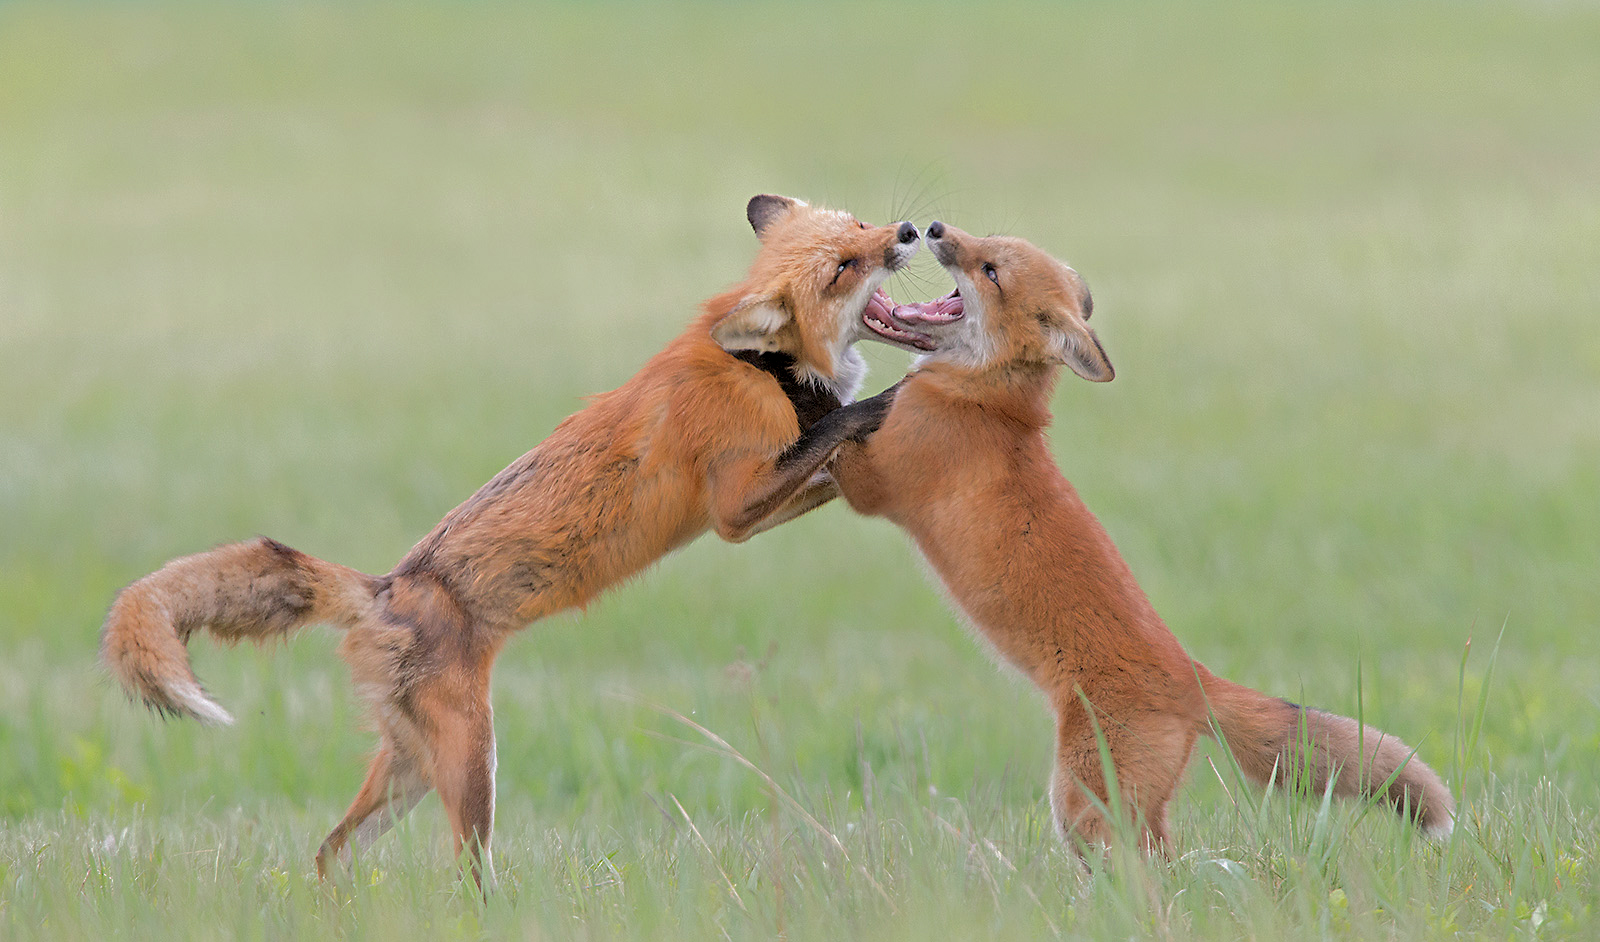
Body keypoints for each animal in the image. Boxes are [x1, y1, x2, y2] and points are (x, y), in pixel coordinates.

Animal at [99, 194, 926, 887]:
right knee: (460, 876)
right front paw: (898, 397)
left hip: (410, 770)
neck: (762, 367)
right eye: (843, 267)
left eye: (858, 225)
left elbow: (831, 462)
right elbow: (839, 429)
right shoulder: (734, 510)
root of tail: (386, 590)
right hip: (474, 767)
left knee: (330, 854)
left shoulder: (762, 497)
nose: (909, 230)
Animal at [837, 220, 1454, 854]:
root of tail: (1191, 676)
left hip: (1081, 806)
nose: (933, 228)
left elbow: (839, 442)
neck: (985, 399)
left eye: (991, 271)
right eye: (985, 240)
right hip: (1126, 808)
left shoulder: (875, 483)